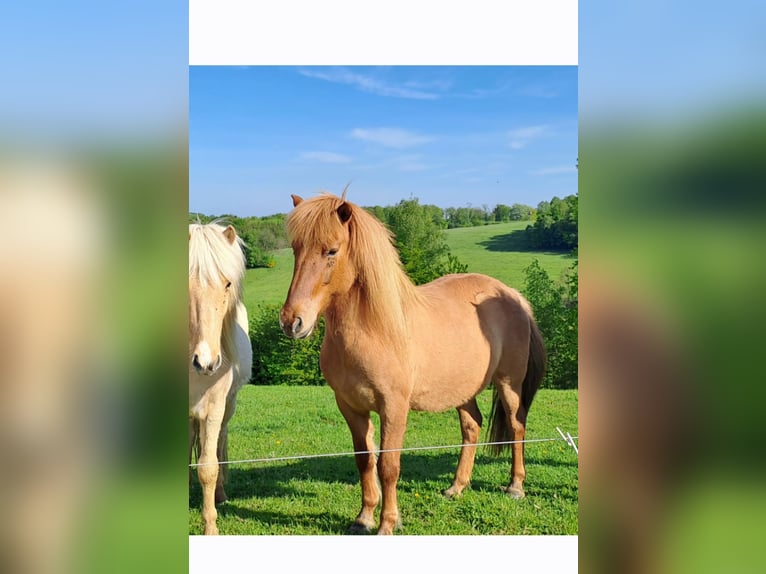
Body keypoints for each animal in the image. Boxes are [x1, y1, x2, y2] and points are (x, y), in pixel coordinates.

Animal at [279, 192, 546, 535]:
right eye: (296, 249)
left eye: (332, 250)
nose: (292, 322)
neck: (375, 329)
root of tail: (513, 295)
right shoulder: (351, 407)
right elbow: (364, 460)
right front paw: (364, 518)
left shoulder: (394, 408)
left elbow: (388, 465)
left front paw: (387, 523)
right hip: (462, 389)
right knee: (472, 425)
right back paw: (456, 487)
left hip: (509, 384)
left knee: (516, 425)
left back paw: (515, 486)